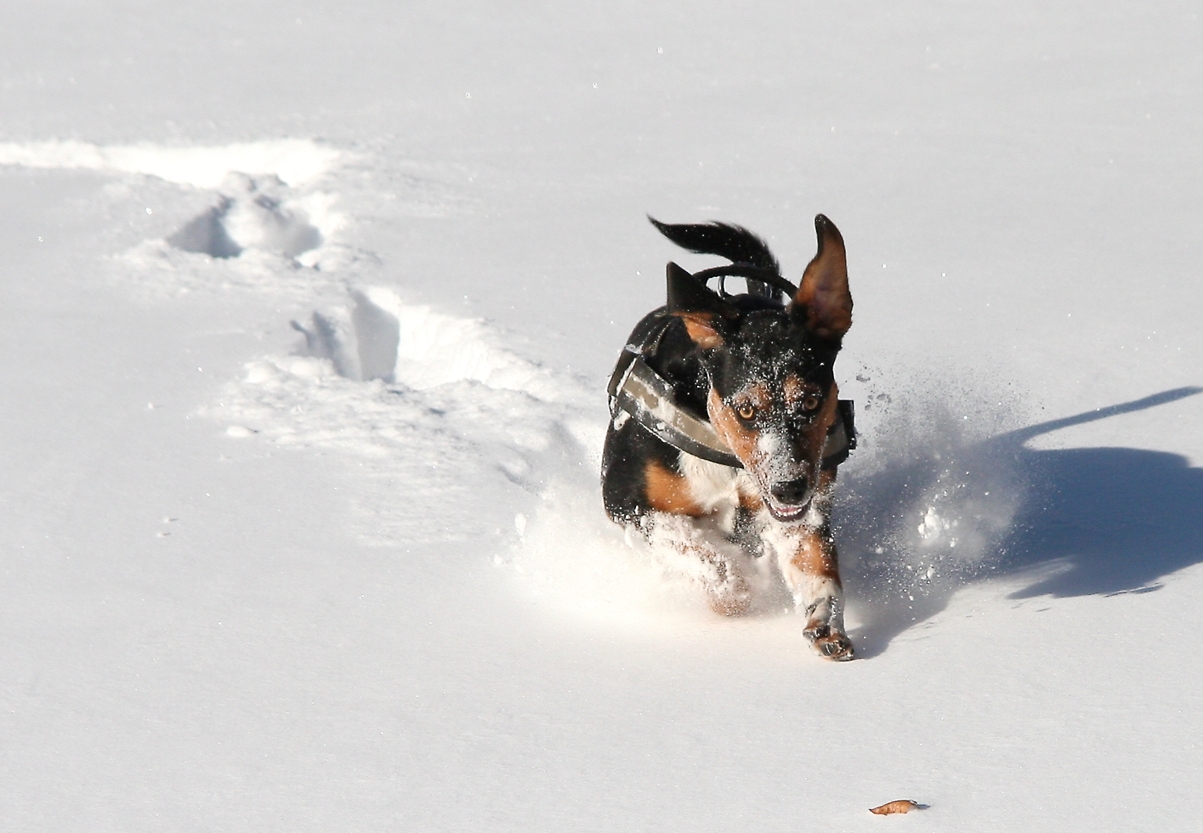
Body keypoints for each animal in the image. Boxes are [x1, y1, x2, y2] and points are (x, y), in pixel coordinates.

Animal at [601, 214, 856, 659]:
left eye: (809, 401)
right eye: (746, 409)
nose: (789, 488)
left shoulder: (803, 514)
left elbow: (820, 570)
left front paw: (825, 625)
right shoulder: (624, 503)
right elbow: (696, 549)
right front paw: (731, 592)